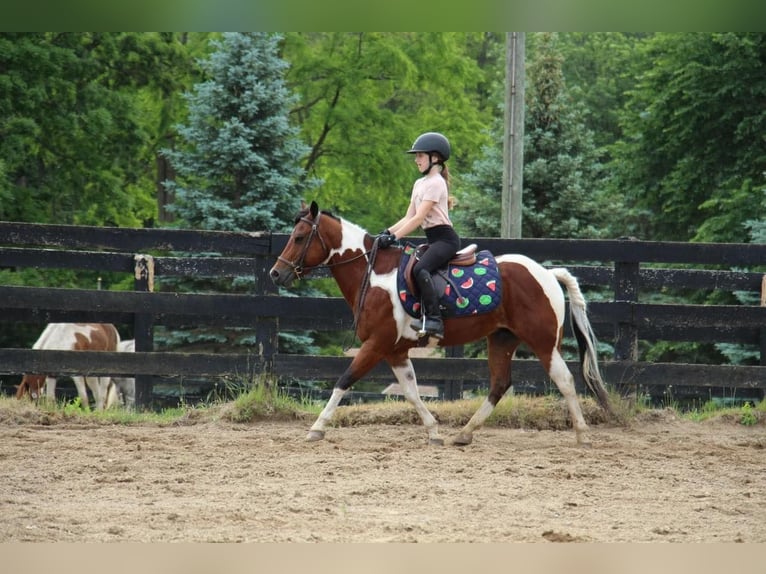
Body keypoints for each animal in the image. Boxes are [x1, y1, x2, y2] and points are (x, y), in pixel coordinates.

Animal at [272, 202, 616, 450]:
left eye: (299, 237)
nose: (276, 273)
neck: (374, 275)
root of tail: (547, 273)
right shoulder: (395, 351)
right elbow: (411, 392)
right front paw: (435, 432)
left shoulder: (376, 344)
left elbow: (344, 381)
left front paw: (316, 428)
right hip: (502, 339)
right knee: (500, 384)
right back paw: (464, 434)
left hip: (543, 343)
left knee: (565, 381)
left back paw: (583, 436)